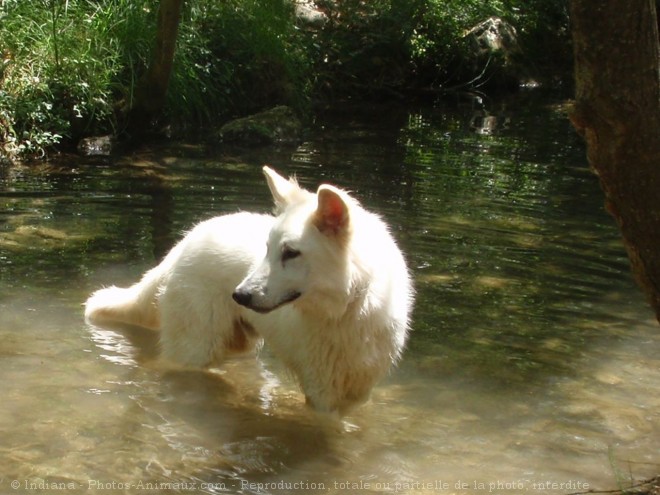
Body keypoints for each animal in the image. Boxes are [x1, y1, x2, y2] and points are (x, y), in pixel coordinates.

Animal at [84, 167, 410, 414]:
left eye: (290, 253)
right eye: (267, 249)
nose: (238, 295)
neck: (350, 306)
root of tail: (183, 243)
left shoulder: (358, 391)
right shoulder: (321, 394)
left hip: (241, 344)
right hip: (196, 348)